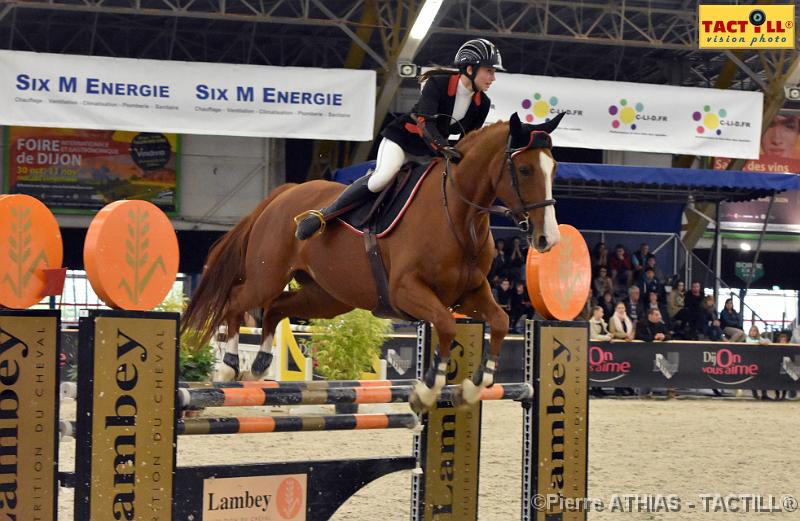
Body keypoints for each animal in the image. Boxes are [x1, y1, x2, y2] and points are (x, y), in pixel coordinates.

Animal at [184, 111, 564, 408]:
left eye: (554, 168)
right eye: (525, 169)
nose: (548, 239)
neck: (458, 215)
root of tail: (282, 194)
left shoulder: (469, 292)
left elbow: (498, 321)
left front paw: (475, 385)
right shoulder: (406, 291)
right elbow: (445, 325)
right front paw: (429, 388)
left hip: (327, 298)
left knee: (276, 308)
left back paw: (260, 364)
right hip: (268, 276)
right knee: (237, 301)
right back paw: (229, 365)